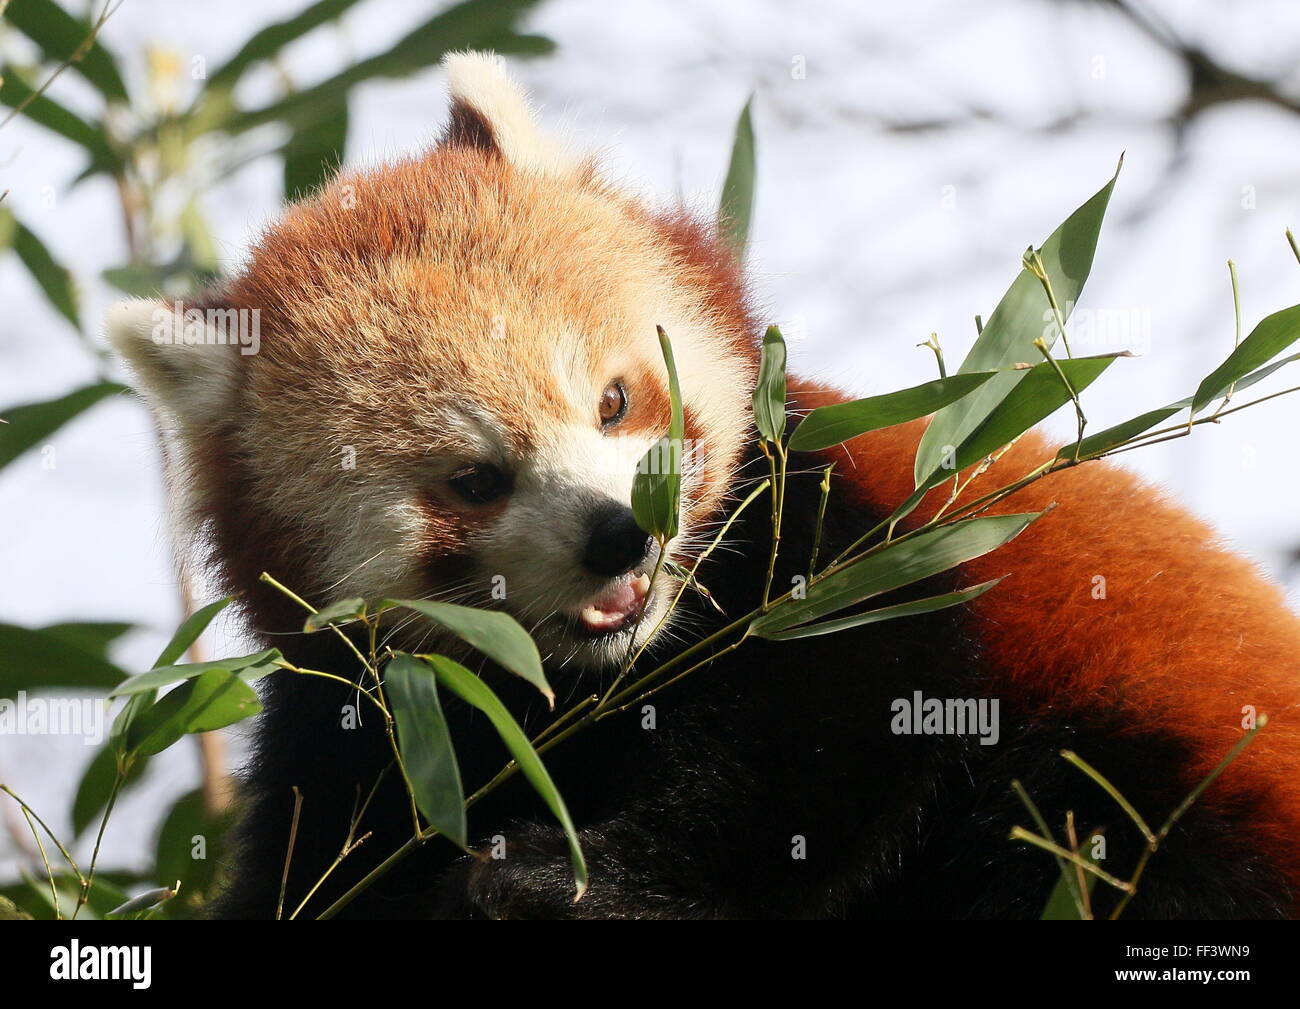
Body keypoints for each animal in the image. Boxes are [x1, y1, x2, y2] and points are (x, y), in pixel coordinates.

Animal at [106, 55, 1300, 920]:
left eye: (615, 403)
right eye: (474, 479)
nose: (618, 537)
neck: (598, 685)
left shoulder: (842, 556)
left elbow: (819, 771)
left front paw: (559, 881)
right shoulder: (379, 717)